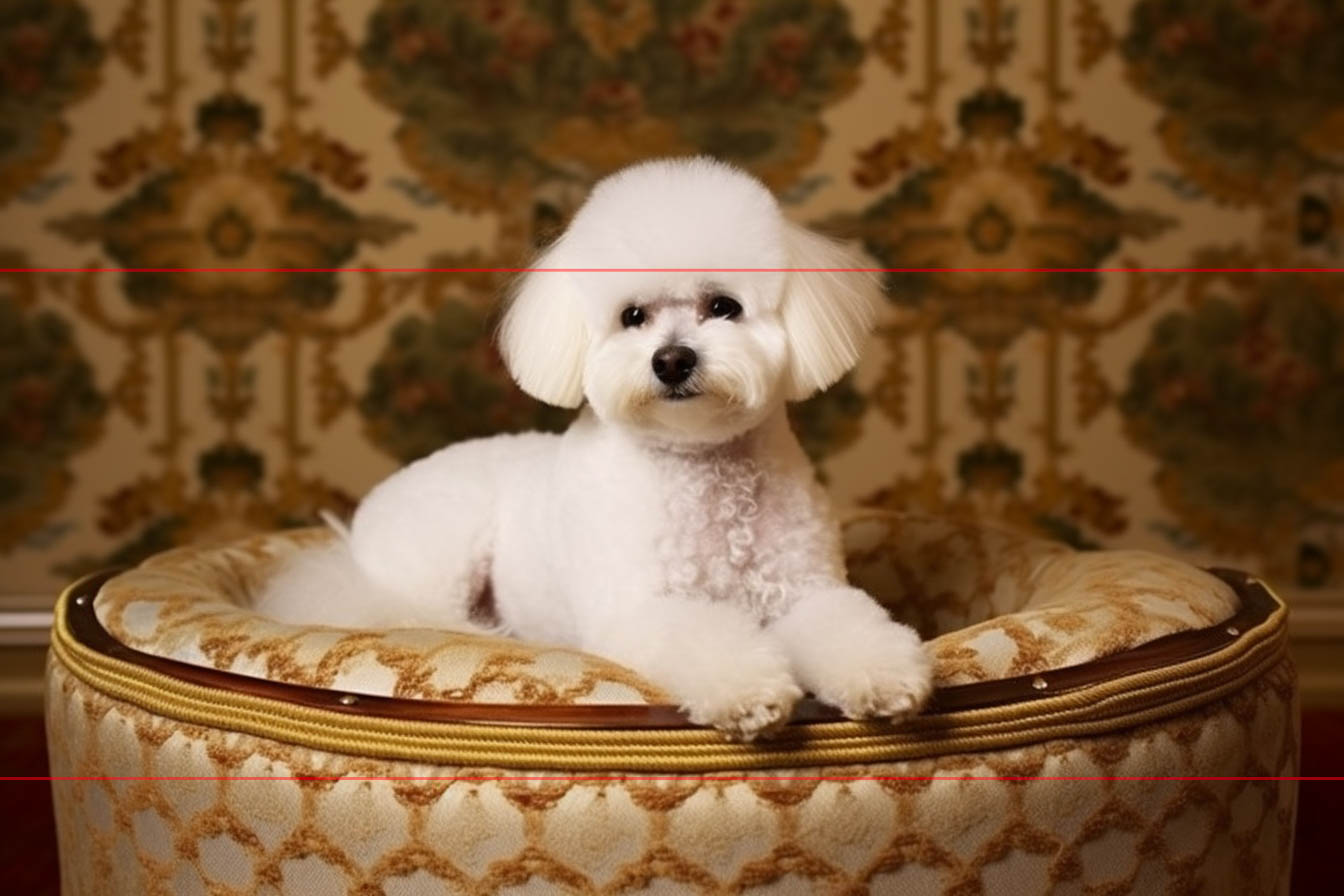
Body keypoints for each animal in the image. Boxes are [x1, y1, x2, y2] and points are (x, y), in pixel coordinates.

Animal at [259, 157, 935, 741]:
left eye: (723, 306)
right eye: (632, 316)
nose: (672, 360)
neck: (702, 473)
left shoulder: (806, 592)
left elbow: (847, 625)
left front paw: (884, 675)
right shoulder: (642, 610)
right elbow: (710, 640)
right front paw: (752, 692)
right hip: (441, 551)